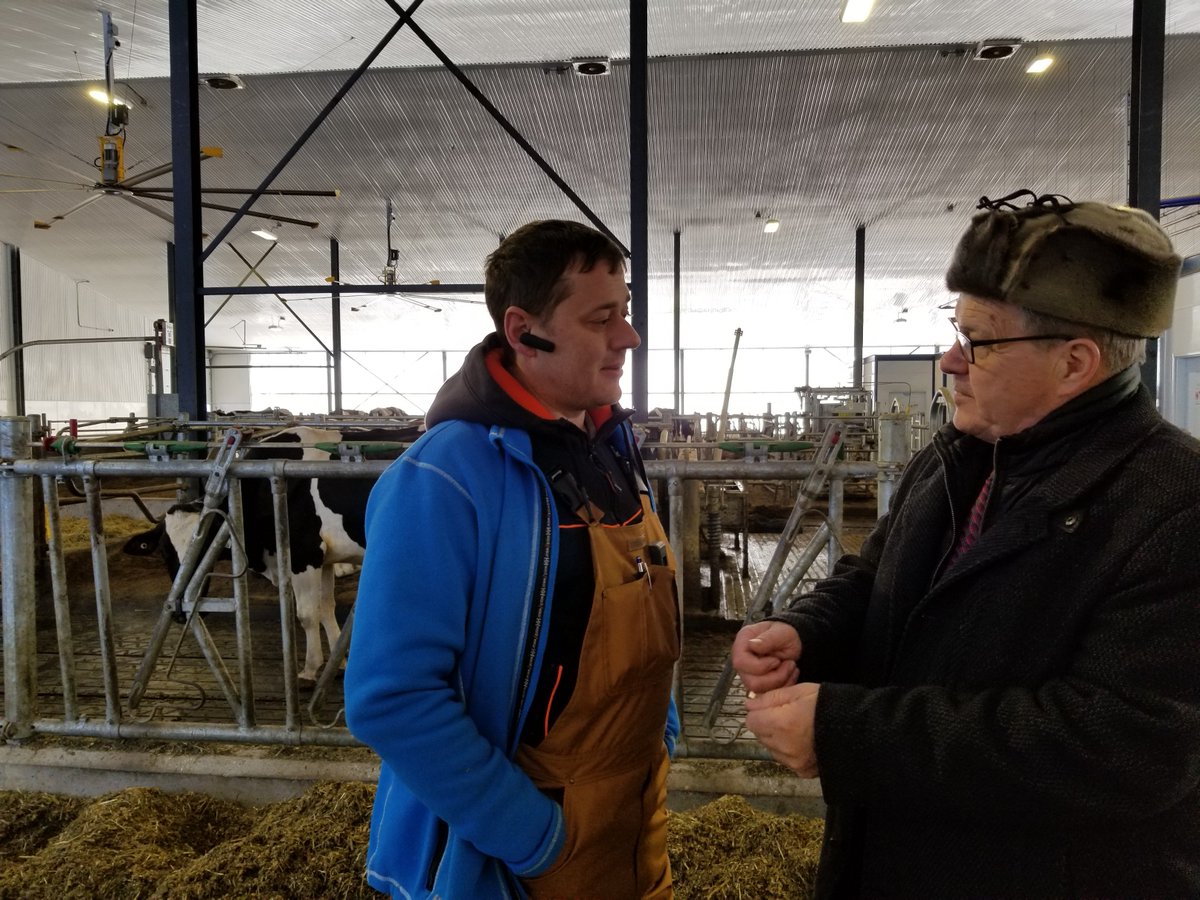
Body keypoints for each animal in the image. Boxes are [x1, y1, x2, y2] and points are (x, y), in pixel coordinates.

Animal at [123, 425, 419, 686]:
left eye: (205, 544)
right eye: (165, 552)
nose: (181, 614)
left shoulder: (303, 554)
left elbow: (307, 614)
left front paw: (310, 670)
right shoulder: (324, 558)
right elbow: (326, 608)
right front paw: (340, 663)